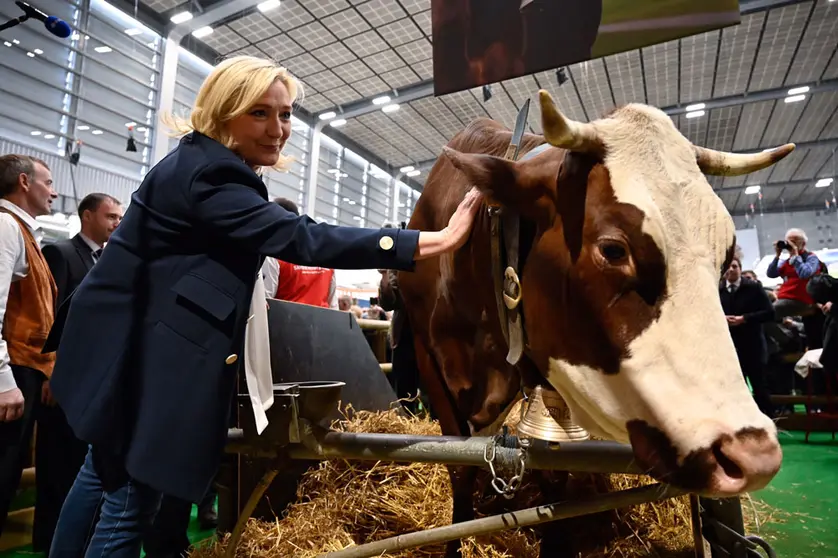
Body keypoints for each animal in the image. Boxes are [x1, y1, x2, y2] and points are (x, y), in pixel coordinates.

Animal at [400, 91, 796, 556]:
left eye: (725, 256)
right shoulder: (429, 361)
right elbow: (459, 467)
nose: (754, 457)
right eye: (613, 249)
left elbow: (552, 470)